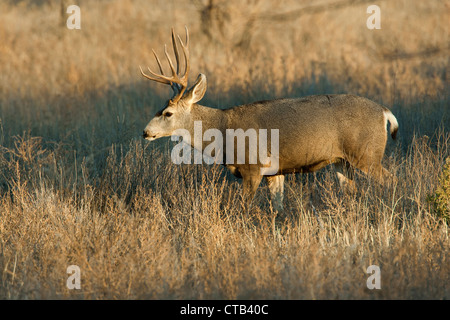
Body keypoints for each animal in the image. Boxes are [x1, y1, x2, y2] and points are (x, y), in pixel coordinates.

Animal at [140, 26, 398, 212]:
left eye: (167, 113)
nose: (145, 132)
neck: (222, 129)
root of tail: (384, 111)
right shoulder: (275, 172)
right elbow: (278, 208)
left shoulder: (252, 167)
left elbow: (243, 208)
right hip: (342, 161)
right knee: (351, 190)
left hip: (367, 154)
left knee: (390, 180)